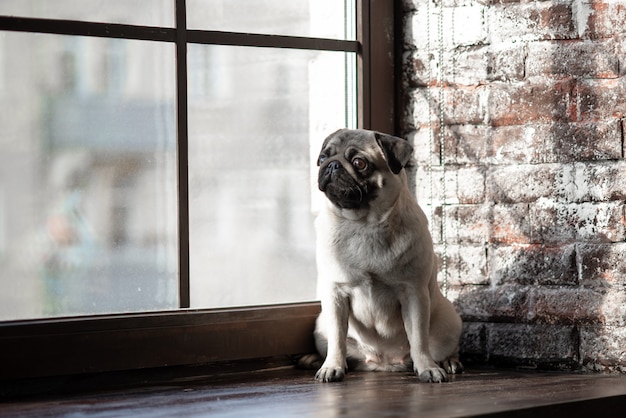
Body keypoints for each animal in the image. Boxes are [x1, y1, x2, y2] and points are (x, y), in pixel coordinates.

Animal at [300, 129, 460, 384]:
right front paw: (332, 366)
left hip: (450, 321)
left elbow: (419, 340)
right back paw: (315, 359)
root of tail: (384, 364)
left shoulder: (414, 294)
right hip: (320, 323)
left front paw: (428, 368)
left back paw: (448, 361)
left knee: (442, 346)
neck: (363, 225)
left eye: (359, 163)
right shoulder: (335, 294)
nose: (332, 165)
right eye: (323, 157)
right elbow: (337, 339)